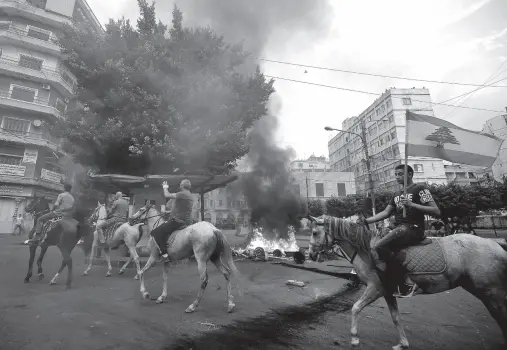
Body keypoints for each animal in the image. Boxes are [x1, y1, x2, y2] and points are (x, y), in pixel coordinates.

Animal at [306, 215, 507, 348]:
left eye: (315, 232)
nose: (311, 255)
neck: (367, 250)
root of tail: (496, 244)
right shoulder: (387, 291)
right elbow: (395, 317)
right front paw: (403, 343)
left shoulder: (375, 288)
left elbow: (355, 307)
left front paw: (354, 338)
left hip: (491, 292)